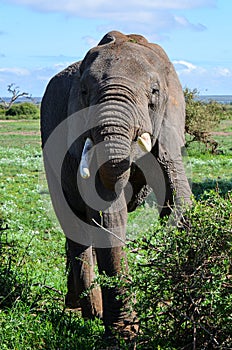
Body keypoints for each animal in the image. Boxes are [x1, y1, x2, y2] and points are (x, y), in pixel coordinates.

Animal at [40, 30, 192, 340]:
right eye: (84, 93)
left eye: (154, 92)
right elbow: (108, 214)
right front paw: (125, 335)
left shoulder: (169, 129)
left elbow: (177, 201)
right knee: (74, 223)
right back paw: (86, 312)